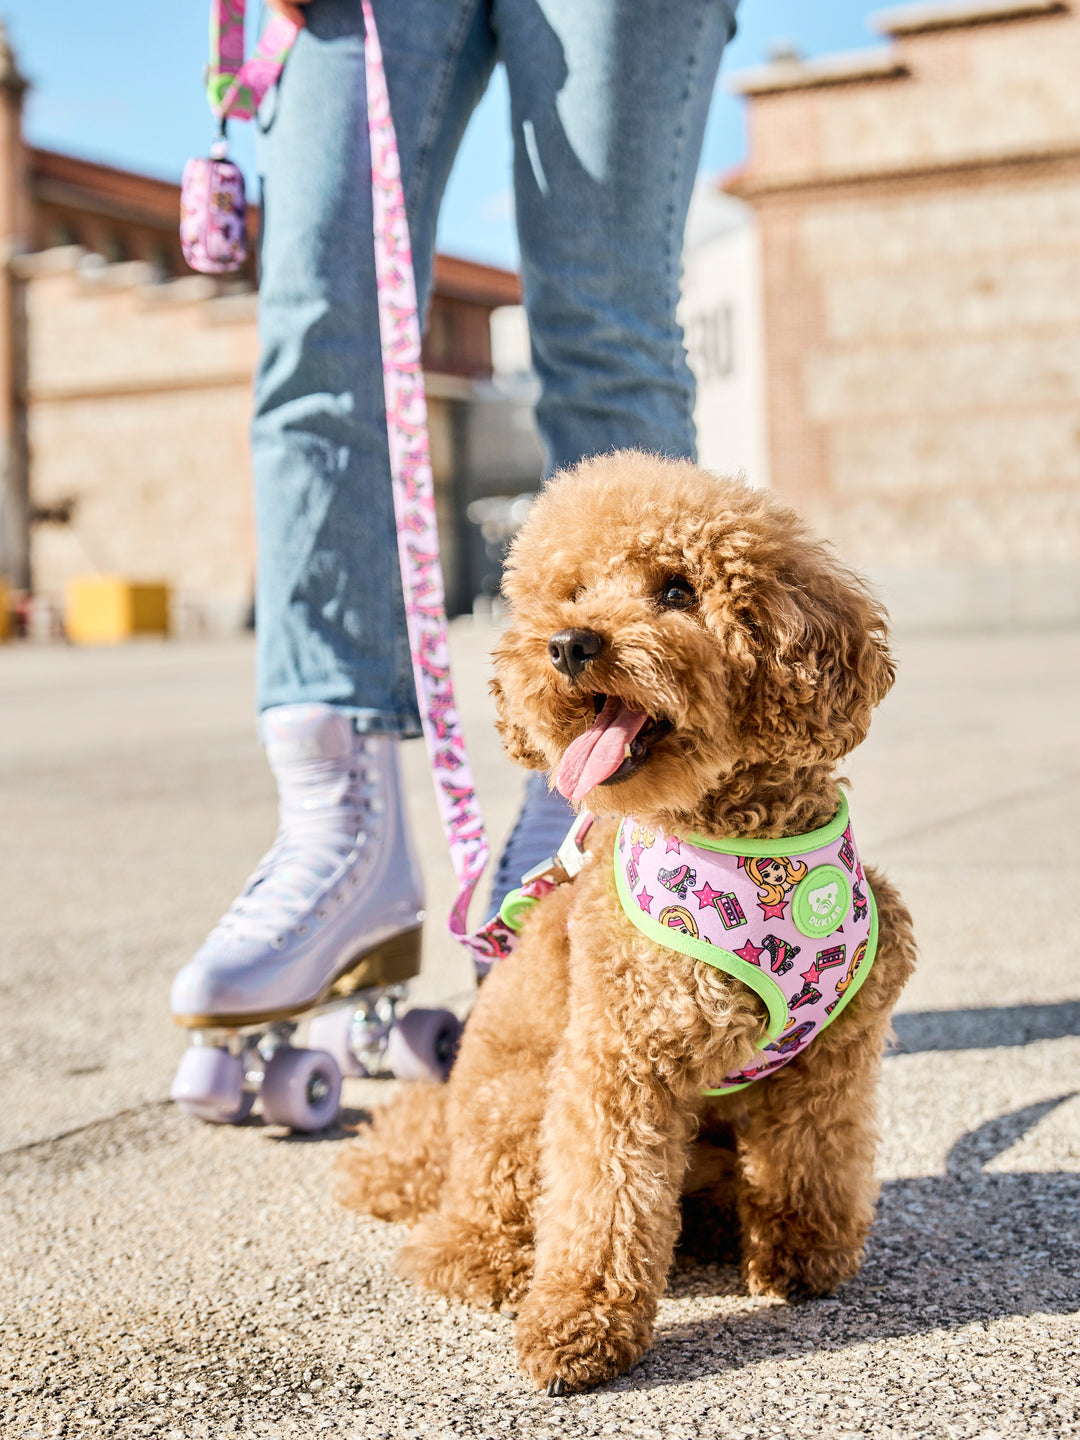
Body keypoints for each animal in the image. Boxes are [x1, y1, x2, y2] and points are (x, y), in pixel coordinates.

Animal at [336, 452, 915, 1393]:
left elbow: (814, 1157)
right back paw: (484, 1261)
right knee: (477, 1223)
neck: (750, 847)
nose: (570, 644)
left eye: (677, 590)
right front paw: (579, 1325)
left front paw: (801, 1257)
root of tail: (442, 1128)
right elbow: (604, 1200)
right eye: (570, 592)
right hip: (514, 1103)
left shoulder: (836, 1053)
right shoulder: (619, 1061)